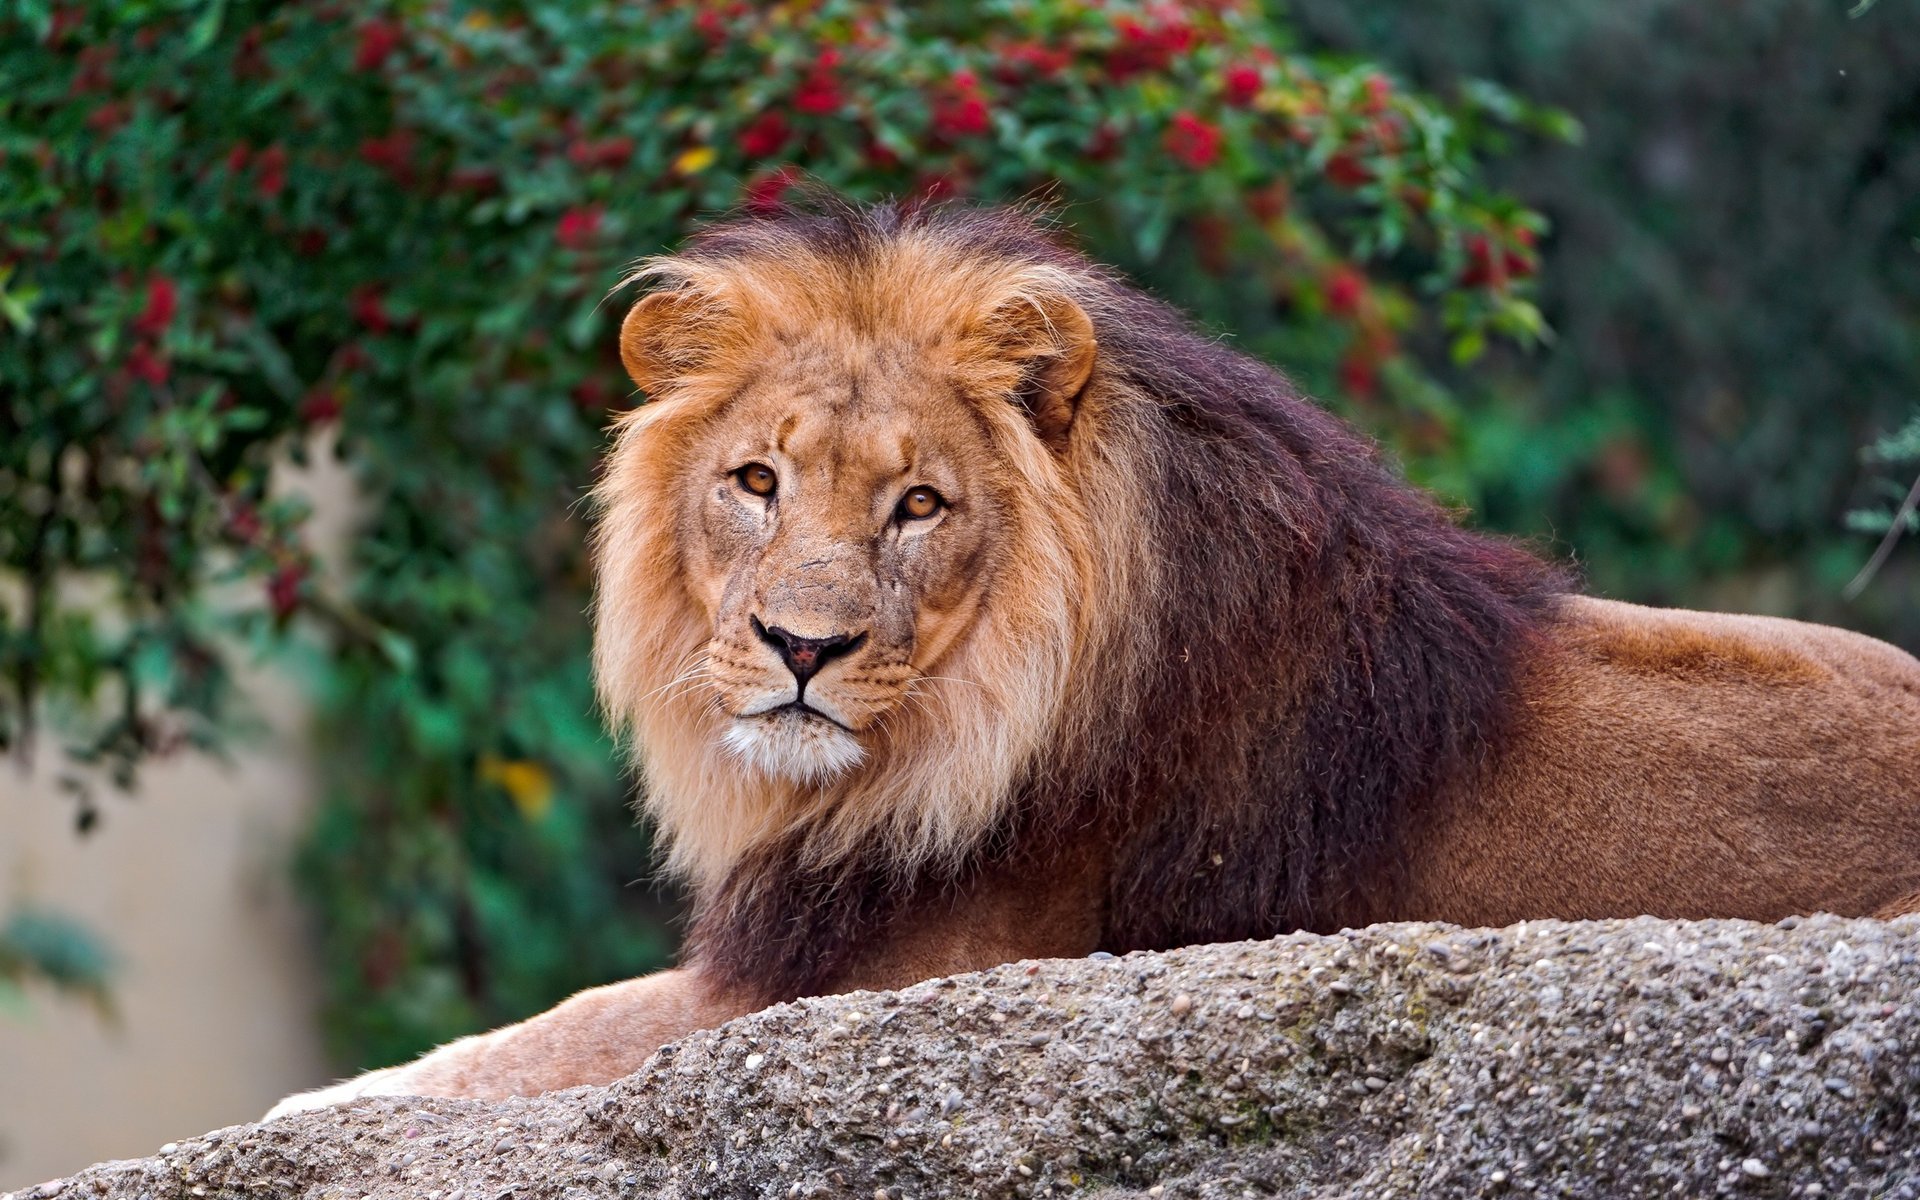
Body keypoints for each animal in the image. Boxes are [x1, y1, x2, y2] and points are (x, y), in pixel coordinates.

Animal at [270, 198, 1920, 1114]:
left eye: (919, 505)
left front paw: (316, 1108)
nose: (801, 646)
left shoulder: (893, 980)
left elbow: (555, 1033)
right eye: (755, 482)